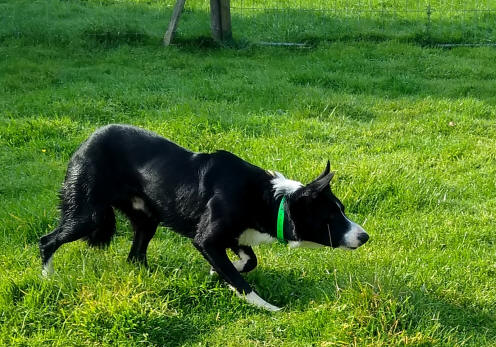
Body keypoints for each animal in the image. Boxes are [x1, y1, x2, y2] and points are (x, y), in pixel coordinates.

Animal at [39, 125, 368, 312]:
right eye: (331, 217)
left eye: (342, 210)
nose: (365, 236)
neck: (270, 200)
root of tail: (85, 143)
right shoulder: (207, 239)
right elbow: (241, 280)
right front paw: (267, 307)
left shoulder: (232, 236)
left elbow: (249, 261)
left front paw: (215, 272)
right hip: (89, 214)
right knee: (47, 241)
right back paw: (48, 277)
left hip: (146, 219)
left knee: (135, 256)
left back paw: (149, 277)